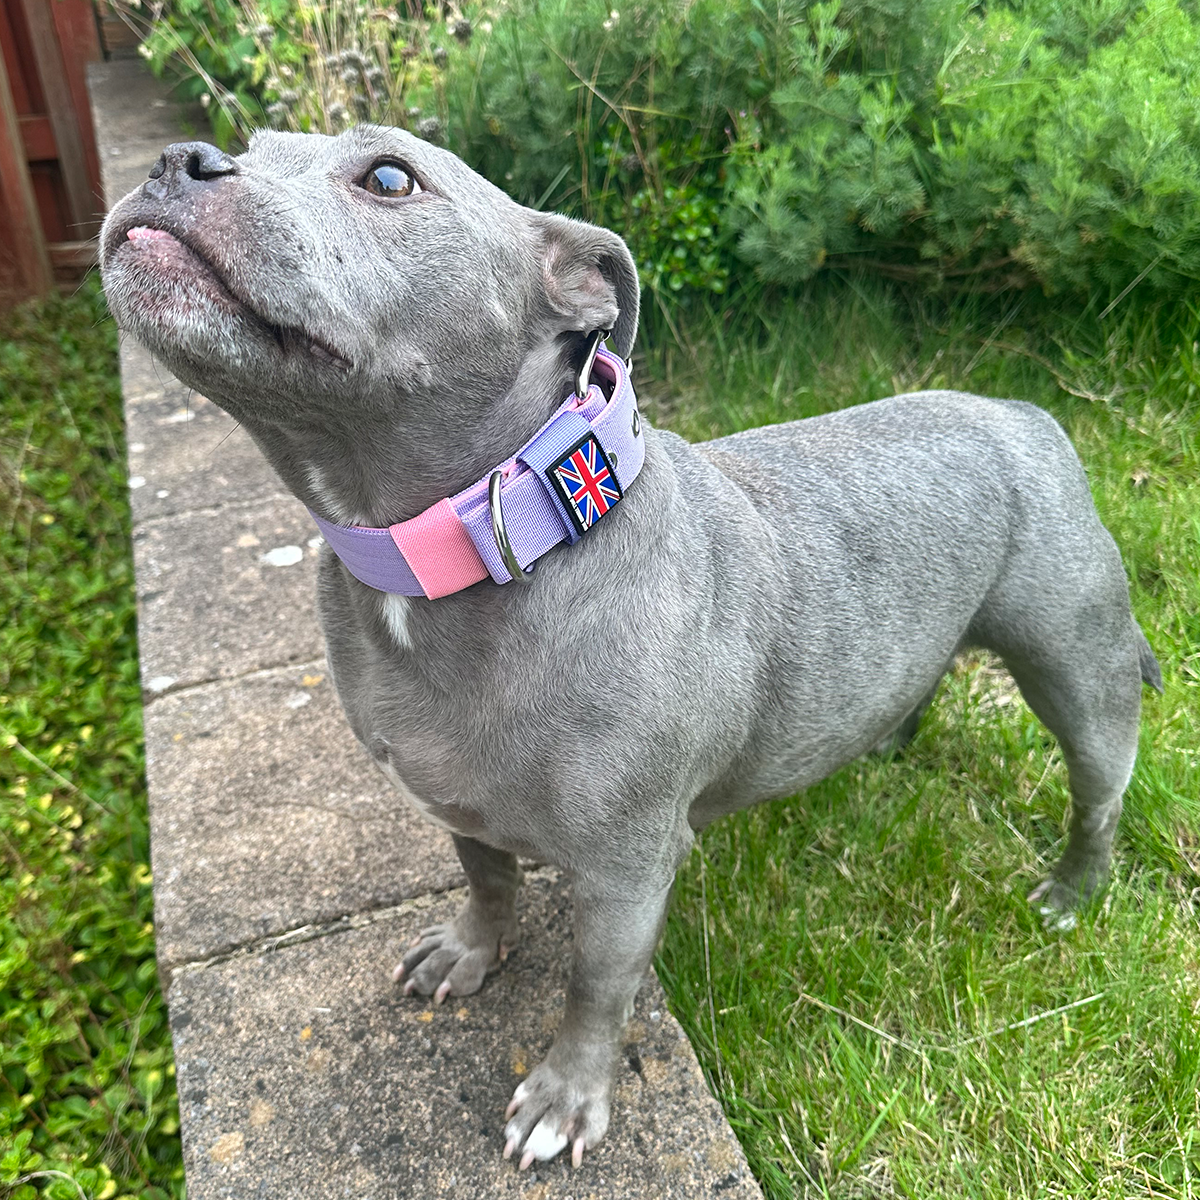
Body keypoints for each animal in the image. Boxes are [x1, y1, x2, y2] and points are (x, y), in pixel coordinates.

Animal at [98, 124, 1156, 1171]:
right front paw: (470, 952)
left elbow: (595, 986)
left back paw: (1070, 892)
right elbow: (486, 879)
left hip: (1077, 665)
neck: (490, 533)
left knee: (1099, 790)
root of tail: (1024, 413)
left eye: (390, 178)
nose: (177, 159)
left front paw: (566, 1100)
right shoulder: (455, 797)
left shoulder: (626, 869)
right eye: (255, 141)